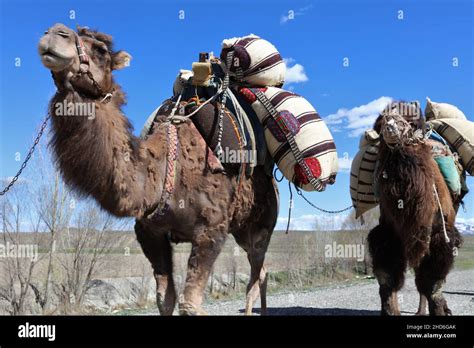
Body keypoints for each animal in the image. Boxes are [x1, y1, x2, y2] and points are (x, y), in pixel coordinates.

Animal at [39, 23, 282, 316]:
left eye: (101, 50)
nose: (54, 34)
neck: (163, 175)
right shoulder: (149, 232)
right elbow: (164, 299)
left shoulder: (212, 229)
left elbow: (190, 305)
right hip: (242, 229)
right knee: (262, 273)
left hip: (262, 224)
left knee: (256, 275)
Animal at [368, 102, 462, 316]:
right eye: (380, 120)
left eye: (410, 121)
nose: (389, 124)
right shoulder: (389, 232)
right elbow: (387, 277)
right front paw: (389, 310)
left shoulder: (438, 233)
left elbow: (432, 282)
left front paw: (440, 309)